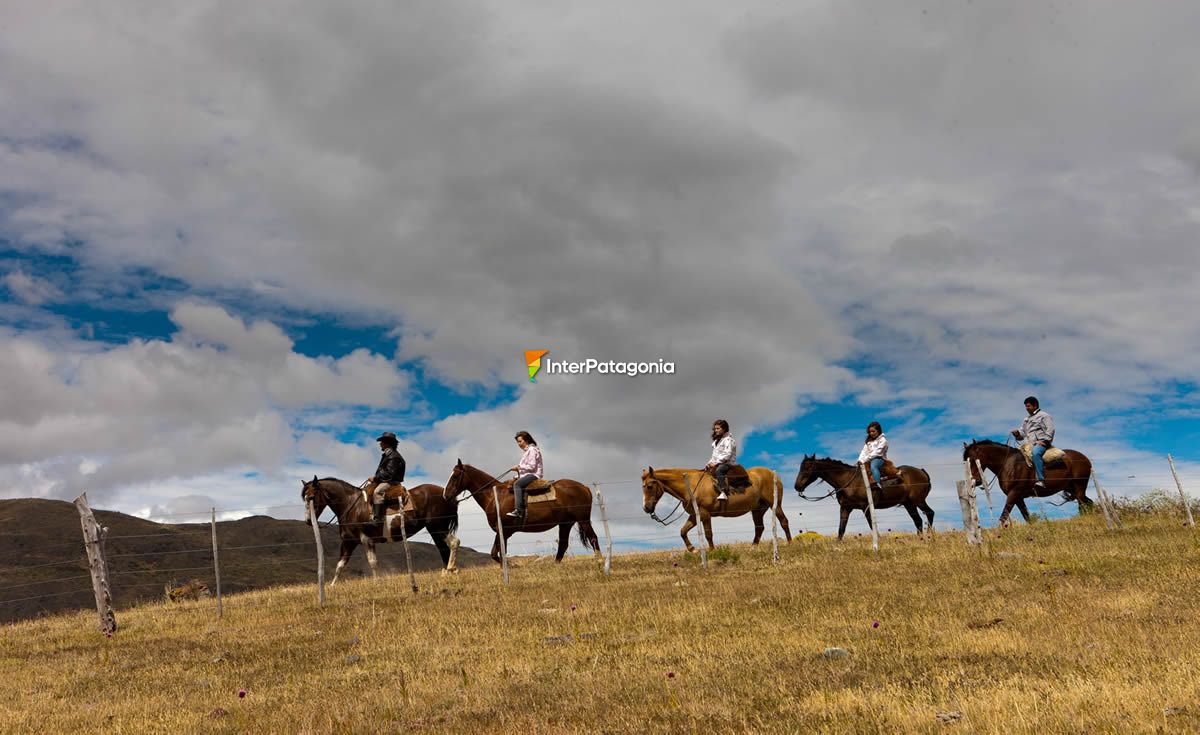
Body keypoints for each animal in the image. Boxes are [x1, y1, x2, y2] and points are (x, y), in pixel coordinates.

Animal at [302, 475, 460, 586]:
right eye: (304, 498)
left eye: (312, 497)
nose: (308, 521)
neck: (351, 505)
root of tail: (446, 494)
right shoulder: (348, 542)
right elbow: (340, 565)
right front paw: (332, 586)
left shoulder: (366, 539)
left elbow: (372, 562)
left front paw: (376, 582)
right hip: (435, 529)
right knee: (443, 548)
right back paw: (448, 572)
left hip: (438, 527)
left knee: (454, 543)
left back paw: (451, 569)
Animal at [444, 458, 604, 562]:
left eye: (456, 476)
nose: (446, 495)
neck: (494, 496)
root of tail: (584, 487)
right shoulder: (502, 532)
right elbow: (498, 553)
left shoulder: (504, 530)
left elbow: (496, 554)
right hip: (566, 523)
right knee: (563, 545)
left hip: (583, 520)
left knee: (593, 538)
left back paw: (601, 562)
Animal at [643, 465, 792, 552]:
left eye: (649, 486)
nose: (646, 508)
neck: (691, 486)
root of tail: (774, 475)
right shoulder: (694, 515)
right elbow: (683, 531)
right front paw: (692, 549)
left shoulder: (705, 514)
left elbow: (708, 534)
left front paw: (712, 551)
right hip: (757, 510)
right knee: (759, 528)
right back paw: (753, 548)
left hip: (775, 505)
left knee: (784, 521)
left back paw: (790, 543)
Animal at [796, 453, 936, 540]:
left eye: (807, 468)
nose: (797, 486)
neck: (849, 481)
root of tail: (921, 471)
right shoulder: (845, 508)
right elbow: (841, 529)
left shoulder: (866, 507)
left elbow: (871, 525)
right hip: (909, 504)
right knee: (918, 520)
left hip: (917, 501)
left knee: (928, 514)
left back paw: (929, 536)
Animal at [960, 439, 1094, 526]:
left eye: (973, 460)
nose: (975, 481)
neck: (1009, 464)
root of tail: (1085, 458)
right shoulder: (1018, 497)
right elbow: (1026, 516)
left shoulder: (1013, 494)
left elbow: (1004, 515)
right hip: (1073, 489)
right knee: (1088, 503)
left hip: (1079, 487)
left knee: (1083, 506)